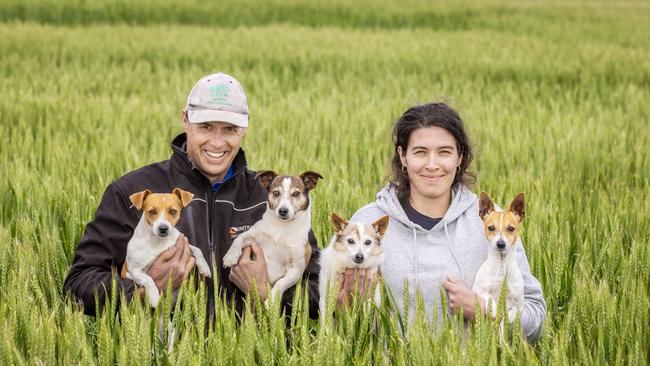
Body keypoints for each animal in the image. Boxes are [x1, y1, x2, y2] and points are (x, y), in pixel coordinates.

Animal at [221, 172, 322, 304]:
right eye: (276, 193)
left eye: (296, 193)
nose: (283, 210)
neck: (282, 228)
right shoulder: (253, 237)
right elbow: (239, 238)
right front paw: (230, 256)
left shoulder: (296, 269)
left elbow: (281, 283)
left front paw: (271, 301)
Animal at [470, 193, 528, 322]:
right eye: (491, 228)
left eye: (511, 228)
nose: (500, 244)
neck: (501, 265)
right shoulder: (478, 290)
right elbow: (490, 298)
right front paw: (495, 310)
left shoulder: (519, 303)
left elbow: (512, 314)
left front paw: (506, 319)